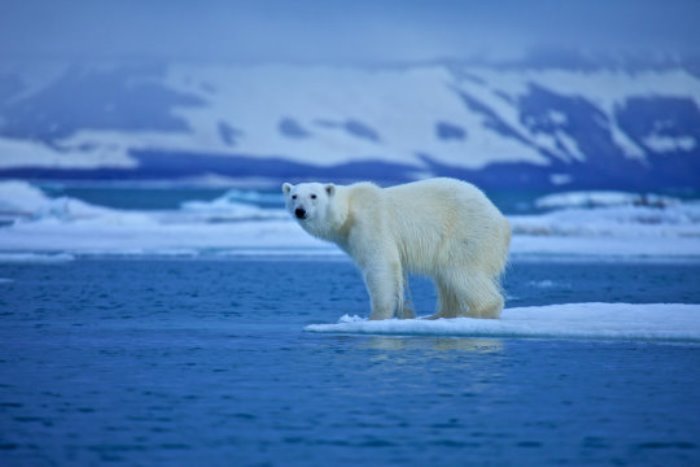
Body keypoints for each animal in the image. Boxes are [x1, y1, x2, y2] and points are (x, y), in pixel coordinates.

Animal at [282, 178, 511, 320]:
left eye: (313, 196)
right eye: (294, 196)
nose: (300, 211)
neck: (348, 212)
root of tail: (501, 219)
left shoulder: (371, 223)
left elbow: (381, 266)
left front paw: (375, 316)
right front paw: (405, 313)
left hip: (466, 232)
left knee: (462, 272)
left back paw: (477, 312)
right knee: (445, 278)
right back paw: (438, 315)